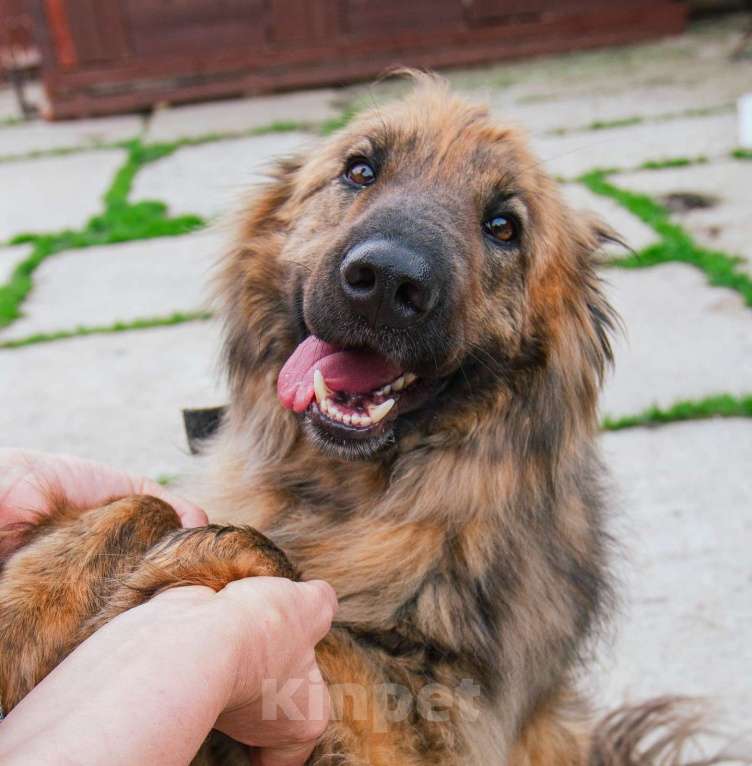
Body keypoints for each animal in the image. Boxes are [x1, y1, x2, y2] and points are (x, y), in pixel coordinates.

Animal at [0, 73, 736, 766]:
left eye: (503, 226)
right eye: (360, 170)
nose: (387, 280)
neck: (343, 499)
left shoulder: (445, 729)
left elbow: (305, 598)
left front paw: (192, 567)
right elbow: (141, 504)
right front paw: (22, 615)